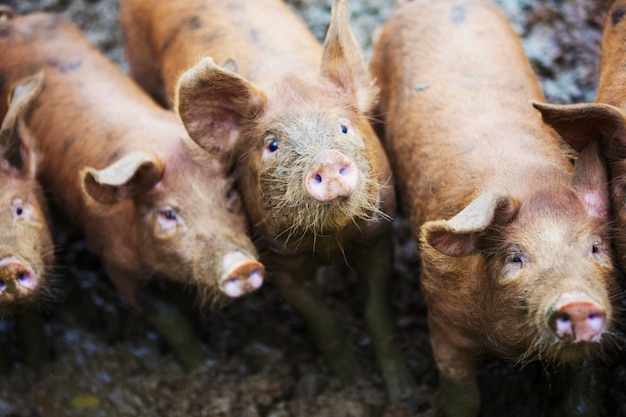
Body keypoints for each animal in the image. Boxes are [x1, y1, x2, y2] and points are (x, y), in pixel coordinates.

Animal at [0, 8, 264, 370]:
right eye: (168, 214)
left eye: (229, 195)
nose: (242, 265)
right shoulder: (112, 258)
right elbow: (164, 313)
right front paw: (200, 366)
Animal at [120, 0, 416, 400]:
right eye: (272, 145)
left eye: (344, 127)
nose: (327, 159)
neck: (328, 243)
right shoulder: (277, 262)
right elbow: (320, 319)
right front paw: (350, 381)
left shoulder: (379, 236)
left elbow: (377, 311)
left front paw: (402, 394)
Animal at [370, 0, 620, 416]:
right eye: (515, 257)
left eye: (596, 248)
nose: (577, 302)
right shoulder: (443, 321)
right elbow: (464, 397)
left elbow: (582, 398)